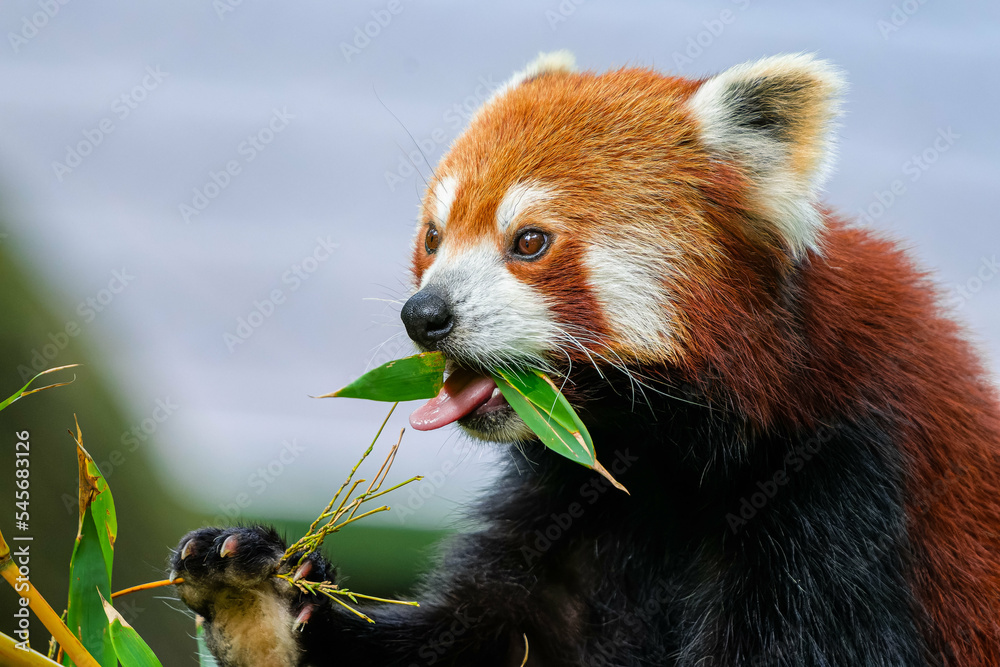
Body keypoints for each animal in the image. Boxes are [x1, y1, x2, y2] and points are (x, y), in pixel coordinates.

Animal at [168, 52, 996, 667]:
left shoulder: (845, 498)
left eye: (529, 241)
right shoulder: (572, 505)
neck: (669, 465)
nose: (424, 315)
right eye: (434, 236)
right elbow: (493, 633)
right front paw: (261, 608)